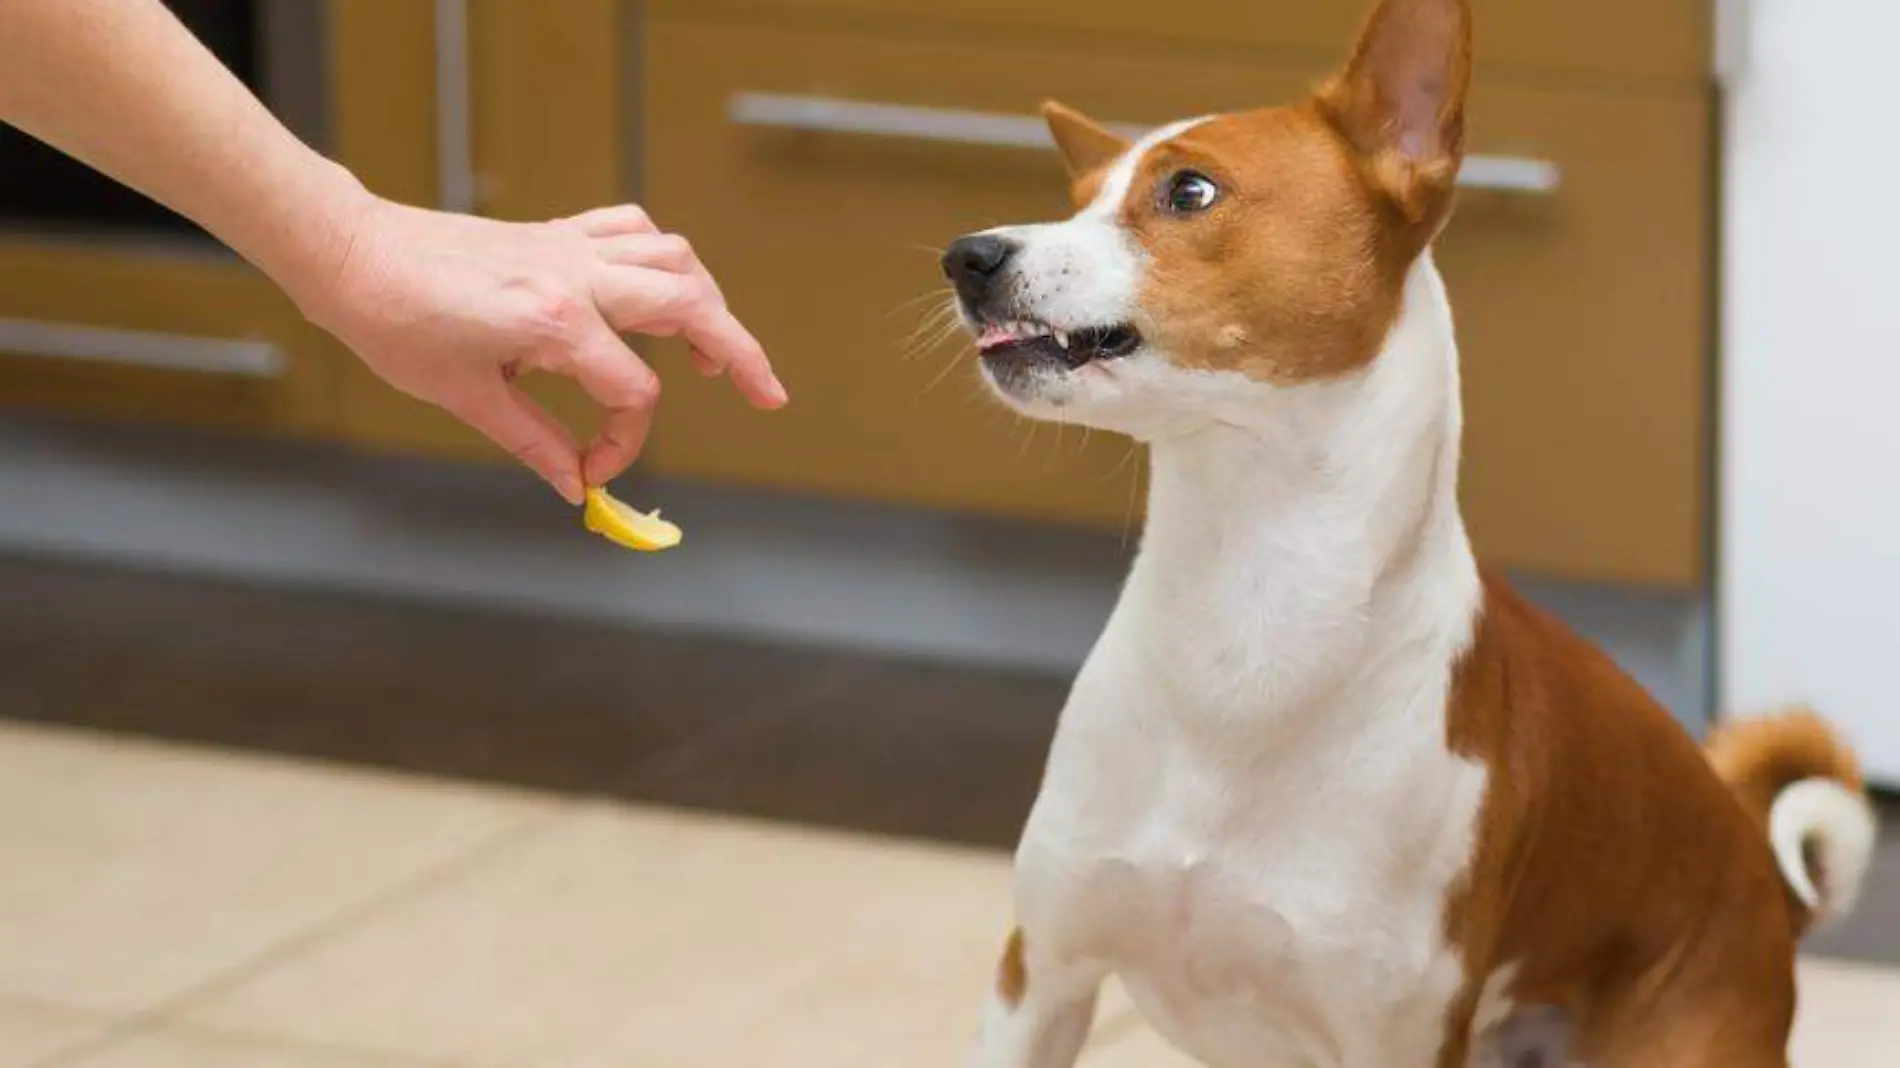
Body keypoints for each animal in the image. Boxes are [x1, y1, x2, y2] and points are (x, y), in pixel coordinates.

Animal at [942, 0, 1877, 1056]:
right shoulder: (1040, 982)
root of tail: (1766, 883)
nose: (968, 256)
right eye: (1078, 198)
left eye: (1188, 191)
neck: (1247, 607)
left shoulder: (1392, 1034)